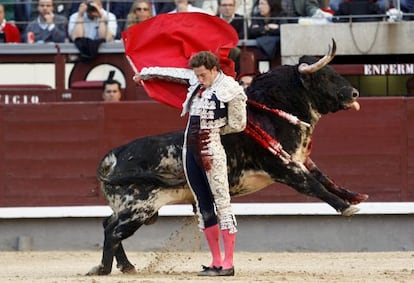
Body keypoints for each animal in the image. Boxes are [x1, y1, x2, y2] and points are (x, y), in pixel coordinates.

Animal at [88, 40, 368, 276]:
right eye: (325, 76)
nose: (354, 93)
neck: (271, 115)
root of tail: (116, 155)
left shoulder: (300, 160)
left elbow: (326, 178)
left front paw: (354, 196)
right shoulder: (284, 168)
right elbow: (314, 185)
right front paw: (346, 207)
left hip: (129, 208)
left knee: (107, 225)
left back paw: (126, 267)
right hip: (139, 208)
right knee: (113, 232)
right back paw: (103, 269)